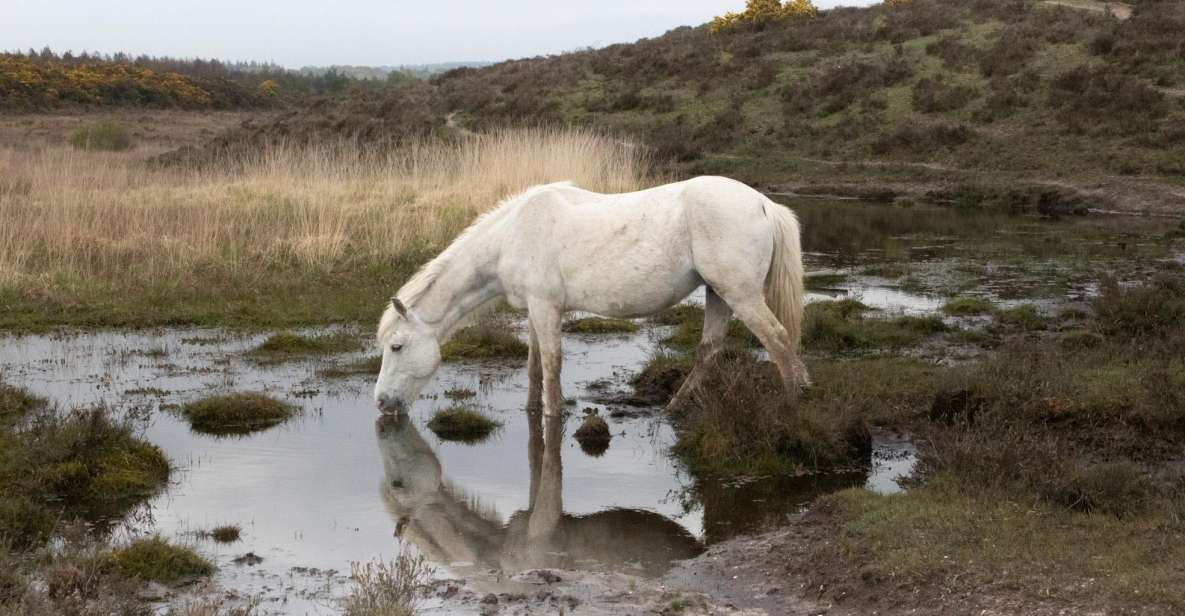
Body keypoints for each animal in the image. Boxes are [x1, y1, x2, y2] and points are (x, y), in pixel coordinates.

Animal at [374, 175, 810, 416]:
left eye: (396, 347)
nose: (381, 402)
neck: (512, 234)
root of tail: (763, 203)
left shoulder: (546, 307)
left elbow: (551, 367)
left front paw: (553, 416)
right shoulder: (535, 310)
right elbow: (534, 367)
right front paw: (531, 409)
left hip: (741, 294)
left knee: (777, 341)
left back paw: (791, 407)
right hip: (718, 293)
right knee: (710, 350)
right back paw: (675, 405)